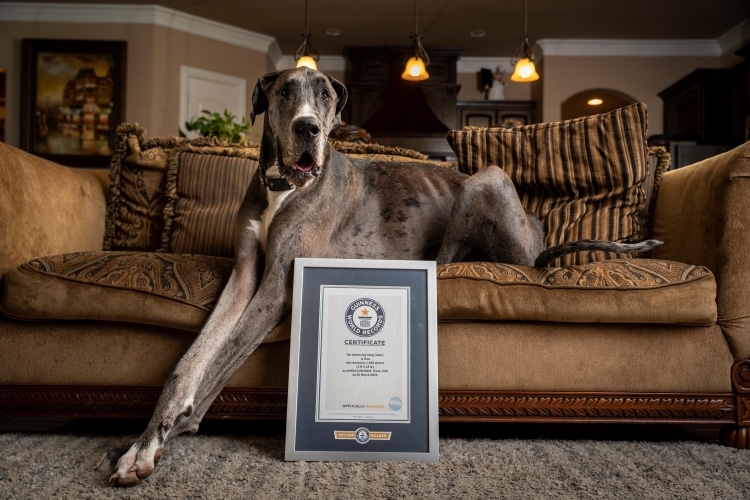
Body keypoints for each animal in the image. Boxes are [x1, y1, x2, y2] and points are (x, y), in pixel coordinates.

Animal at [101, 67, 664, 484]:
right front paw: (145, 440)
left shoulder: (278, 286)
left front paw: (166, 435)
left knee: (450, 257)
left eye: (325, 94)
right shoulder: (243, 276)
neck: (285, 186)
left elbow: (220, 359)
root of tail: (539, 229)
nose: (308, 128)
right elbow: (190, 362)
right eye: (284, 91)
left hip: (483, 179)